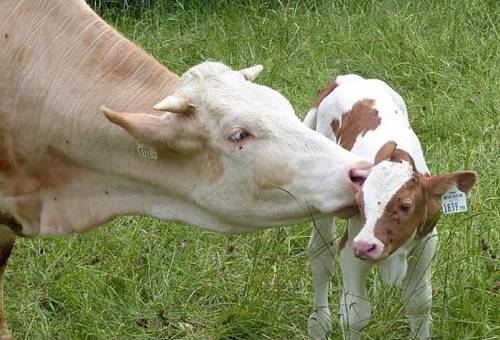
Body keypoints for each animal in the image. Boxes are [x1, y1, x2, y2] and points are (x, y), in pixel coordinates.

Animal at [304, 75, 476, 340]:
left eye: (406, 205)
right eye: (360, 203)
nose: (366, 246)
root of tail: (346, 78)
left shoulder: (426, 243)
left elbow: (419, 302)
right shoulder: (352, 247)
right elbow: (355, 314)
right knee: (321, 255)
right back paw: (318, 324)